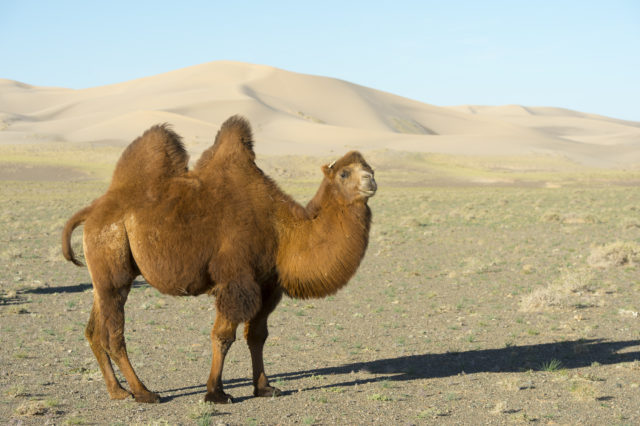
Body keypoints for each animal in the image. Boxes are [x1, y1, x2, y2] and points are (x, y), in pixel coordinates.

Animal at [61, 115, 376, 402]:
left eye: (370, 168)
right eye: (344, 174)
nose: (371, 181)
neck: (282, 230)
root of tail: (92, 211)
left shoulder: (267, 285)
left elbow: (257, 335)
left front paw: (264, 387)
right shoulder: (235, 280)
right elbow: (223, 336)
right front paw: (216, 392)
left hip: (103, 276)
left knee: (94, 330)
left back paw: (117, 391)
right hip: (113, 261)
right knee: (113, 334)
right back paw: (144, 392)